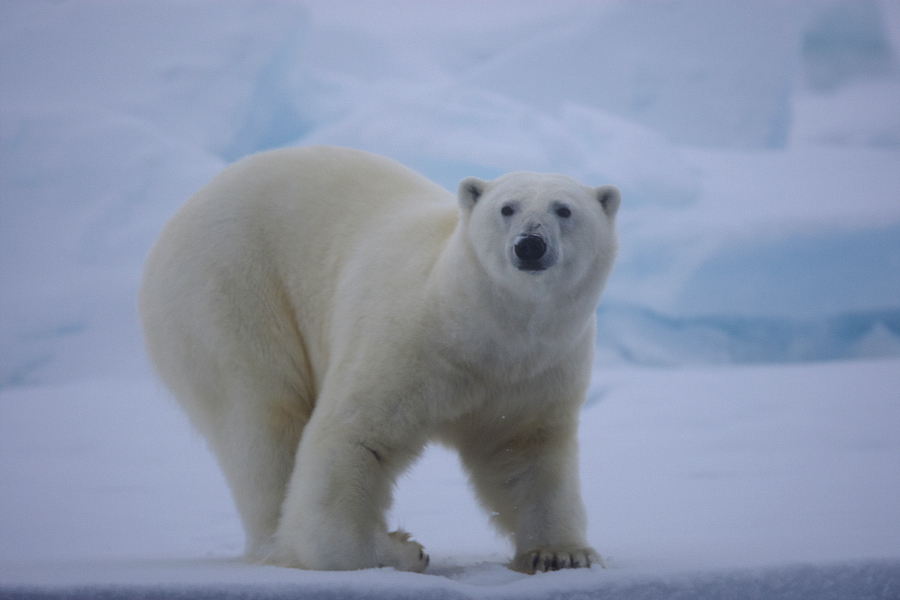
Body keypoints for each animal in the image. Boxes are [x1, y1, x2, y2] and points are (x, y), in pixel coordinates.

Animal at [139, 145, 620, 572]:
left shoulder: (537, 371)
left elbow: (525, 454)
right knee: (261, 417)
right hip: (229, 291)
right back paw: (276, 543)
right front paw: (401, 549)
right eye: (507, 208)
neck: (473, 324)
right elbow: (354, 437)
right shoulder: (410, 342)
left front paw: (560, 554)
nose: (530, 245)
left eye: (564, 210)